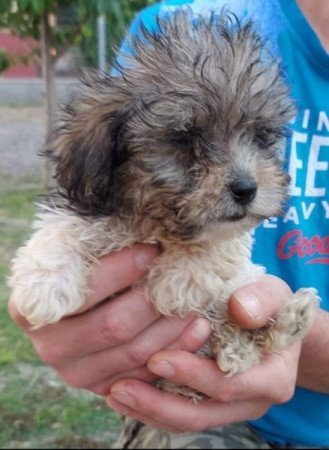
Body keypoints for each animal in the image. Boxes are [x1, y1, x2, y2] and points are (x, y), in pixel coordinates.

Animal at [9, 10, 318, 396]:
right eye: (185, 138)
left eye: (260, 136)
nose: (247, 188)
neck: (156, 223)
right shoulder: (89, 211)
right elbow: (60, 230)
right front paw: (43, 287)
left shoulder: (230, 240)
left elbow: (218, 244)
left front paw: (176, 281)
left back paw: (279, 325)